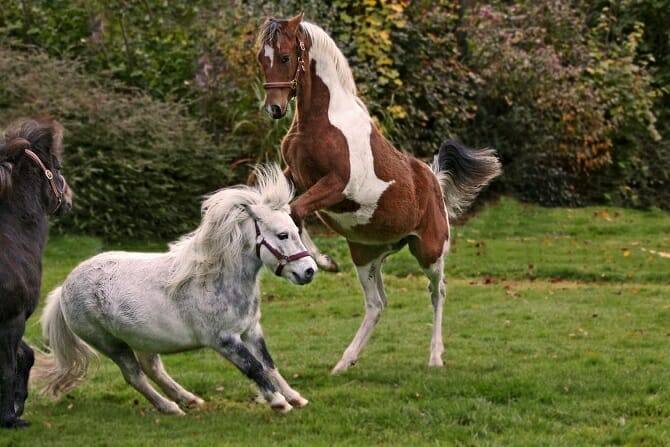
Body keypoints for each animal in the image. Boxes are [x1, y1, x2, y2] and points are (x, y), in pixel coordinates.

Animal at [35, 165, 318, 416]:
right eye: (282, 235)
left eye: (295, 231)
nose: (309, 271)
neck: (215, 281)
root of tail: (64, 287)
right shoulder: (224, 340)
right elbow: (254, 369)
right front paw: (279, 403)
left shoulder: (251, 331)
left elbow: (269, 365)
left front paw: (295, 398)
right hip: (110, 344)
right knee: (135, 376)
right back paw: (170, 407)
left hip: (142, 338)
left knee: (152, 370)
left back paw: (189, 399)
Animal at [258, 14, 504, 372]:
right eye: (261, 59)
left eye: (286, 57)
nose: (274, 108)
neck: (322, 121)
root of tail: (434, 180)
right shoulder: (296, 176)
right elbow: (288, 210)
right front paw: (324, 261)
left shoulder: (337, 185)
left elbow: (297, 212)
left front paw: (320, 260)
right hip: (366, 254)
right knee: (377, 303)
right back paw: (344, 362)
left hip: (429, 250)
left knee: (438, 292)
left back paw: (435, 357)